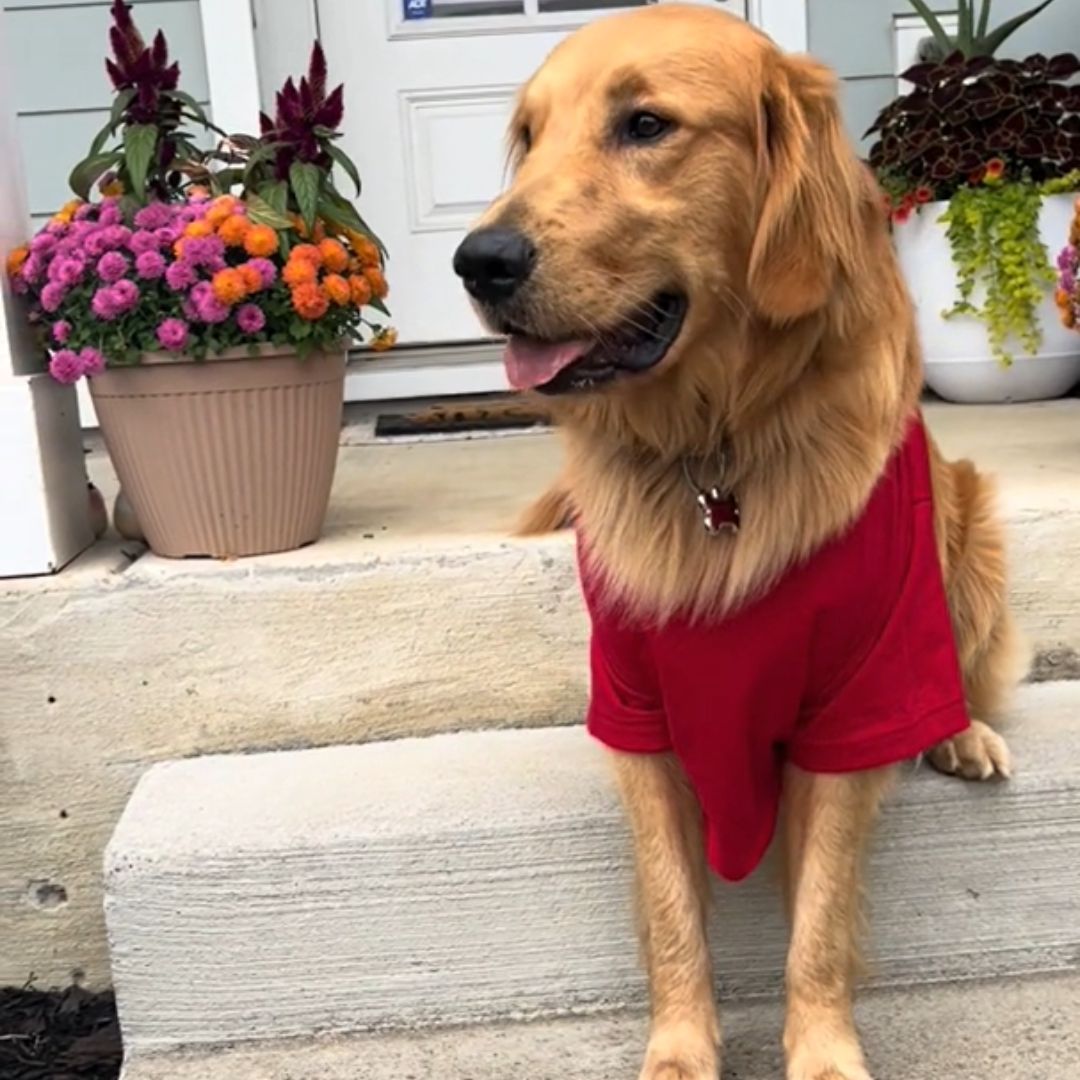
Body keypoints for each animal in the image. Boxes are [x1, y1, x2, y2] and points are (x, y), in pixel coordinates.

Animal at [451, 4, 1023, 1075]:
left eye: (645, 125)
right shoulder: (635, 706)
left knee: (955, 670)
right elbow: (675, 909)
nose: (479, 262)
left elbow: (820, 921)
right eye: (530, 137)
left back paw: (961, 732)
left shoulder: (850, 705)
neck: (716, 447)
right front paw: (680, 1052)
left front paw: (824, 1052)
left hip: (971, 522)